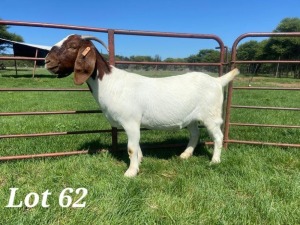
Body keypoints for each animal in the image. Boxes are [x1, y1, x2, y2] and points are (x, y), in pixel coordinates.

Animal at [45, 34, 240, 177]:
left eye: (72, 46)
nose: (47, 61)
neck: (109, 83)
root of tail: (217, 81)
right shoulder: (132, 124)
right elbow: (137, 146)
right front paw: (139, 162)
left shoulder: (130, 121)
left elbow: (131, 148)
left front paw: (131, 172)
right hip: (191, 118)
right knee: (195, 134)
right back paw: (185, 155)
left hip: (211, 115)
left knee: (218, 136)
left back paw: (214, 161)